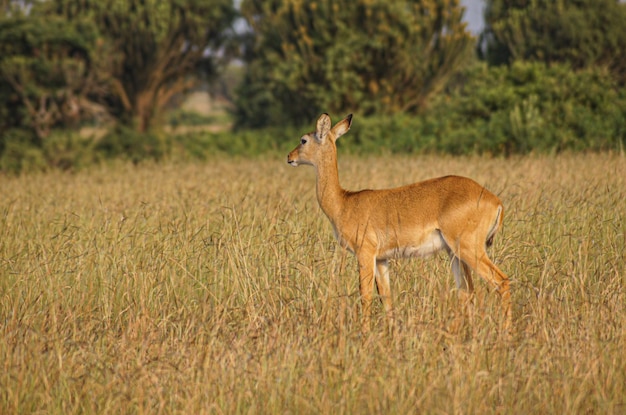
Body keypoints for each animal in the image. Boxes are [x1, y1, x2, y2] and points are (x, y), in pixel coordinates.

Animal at [288, 112, 512, 334]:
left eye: (303, 140)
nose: (289, 157)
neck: (344, 203)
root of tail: (496, 201)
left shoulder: (365, 253)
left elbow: (365, 295)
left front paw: (364, 333)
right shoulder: (381, 259)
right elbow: (386, 297)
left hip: (468, 248)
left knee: (500, 281)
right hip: (454, 253)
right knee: (466, 290)